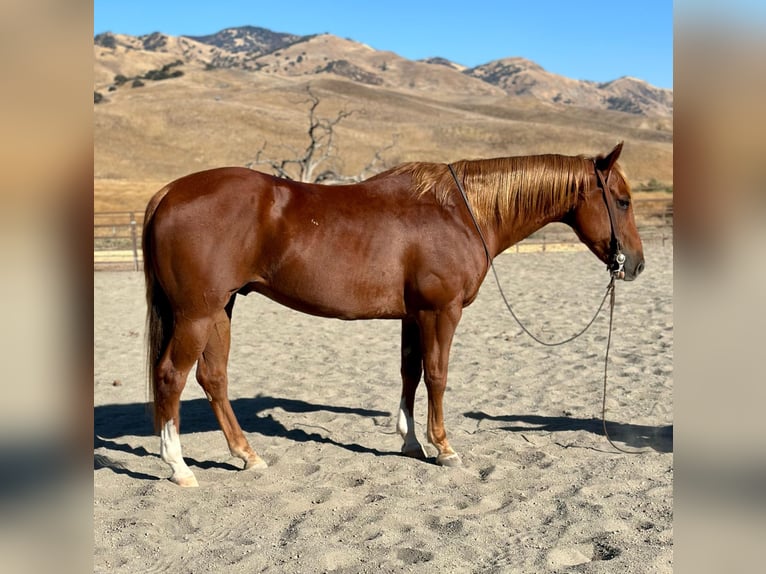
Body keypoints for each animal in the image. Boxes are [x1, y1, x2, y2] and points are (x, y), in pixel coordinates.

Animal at [142, 143, 640, 486]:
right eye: (623, 200)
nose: (634, 264)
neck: (459, 212)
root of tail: (168, 192)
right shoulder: (441, 312)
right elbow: (437, 375)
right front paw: (444, 448)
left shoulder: (413, 315)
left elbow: (410, 374)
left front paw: (411, 442)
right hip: (196, 313)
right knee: (171, 376)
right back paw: (179, 467)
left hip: (221, 309)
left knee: (213, 378)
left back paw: (247, 455)